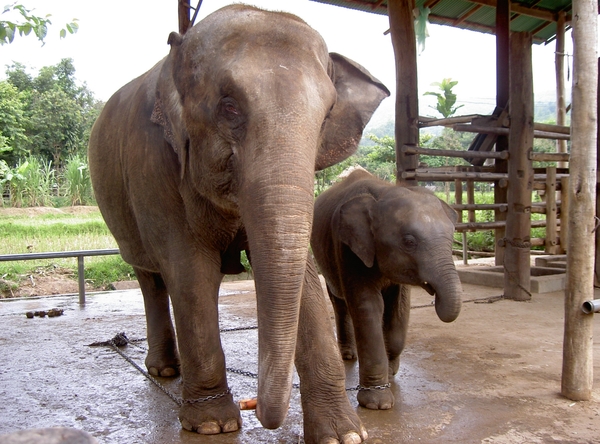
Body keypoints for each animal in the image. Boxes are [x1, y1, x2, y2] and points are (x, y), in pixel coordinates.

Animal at [89, 4, 390, 444]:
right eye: (229, 106)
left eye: (325, 119)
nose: (259, 411)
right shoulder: (153, 163)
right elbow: (189, 269)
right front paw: (213, 425)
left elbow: (304, 277)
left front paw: (344, 434)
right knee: (151, 277)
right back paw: (164, 371)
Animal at [312, 169, 462, 410]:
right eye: (409, 242)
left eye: (452, 238)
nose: (434, 296)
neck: (382, 192)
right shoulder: (347, 248)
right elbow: (368, 306)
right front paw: (378, 404)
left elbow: (399, 308)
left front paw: (391, 373)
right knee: (339, 301)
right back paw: (348, 356)